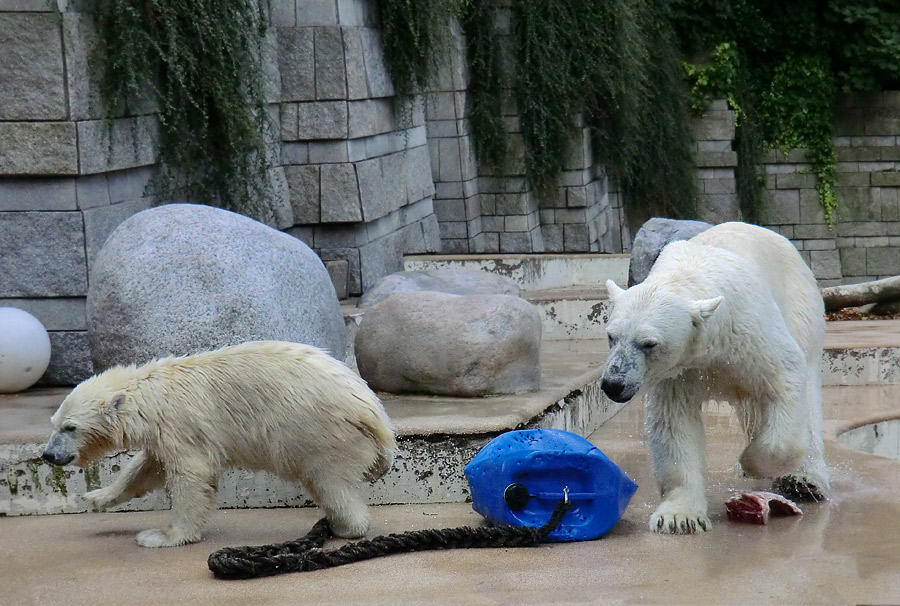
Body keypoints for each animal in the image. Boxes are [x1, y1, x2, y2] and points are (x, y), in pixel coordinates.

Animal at [42, 342, 394, 552]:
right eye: (53, 424)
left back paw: (345, 527)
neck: (149, 394)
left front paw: (162, 536)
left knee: (327, 481)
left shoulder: (179, 424)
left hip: (321, 433)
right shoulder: (163, 433)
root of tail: (374, 413)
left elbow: (190, 476)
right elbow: (147, 468)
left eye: (70, 427)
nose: (48, 454)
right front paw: (97, 497)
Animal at [600, 223, 832, 536]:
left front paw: (750, 461)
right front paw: (680, 517)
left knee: (808, 392)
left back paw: (804, 481)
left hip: (800, 306)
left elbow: (785, 377)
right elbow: (674, 423)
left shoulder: (750, 335)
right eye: (611, 336)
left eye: (649, 343)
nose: (613, 384)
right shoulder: (678, 373)